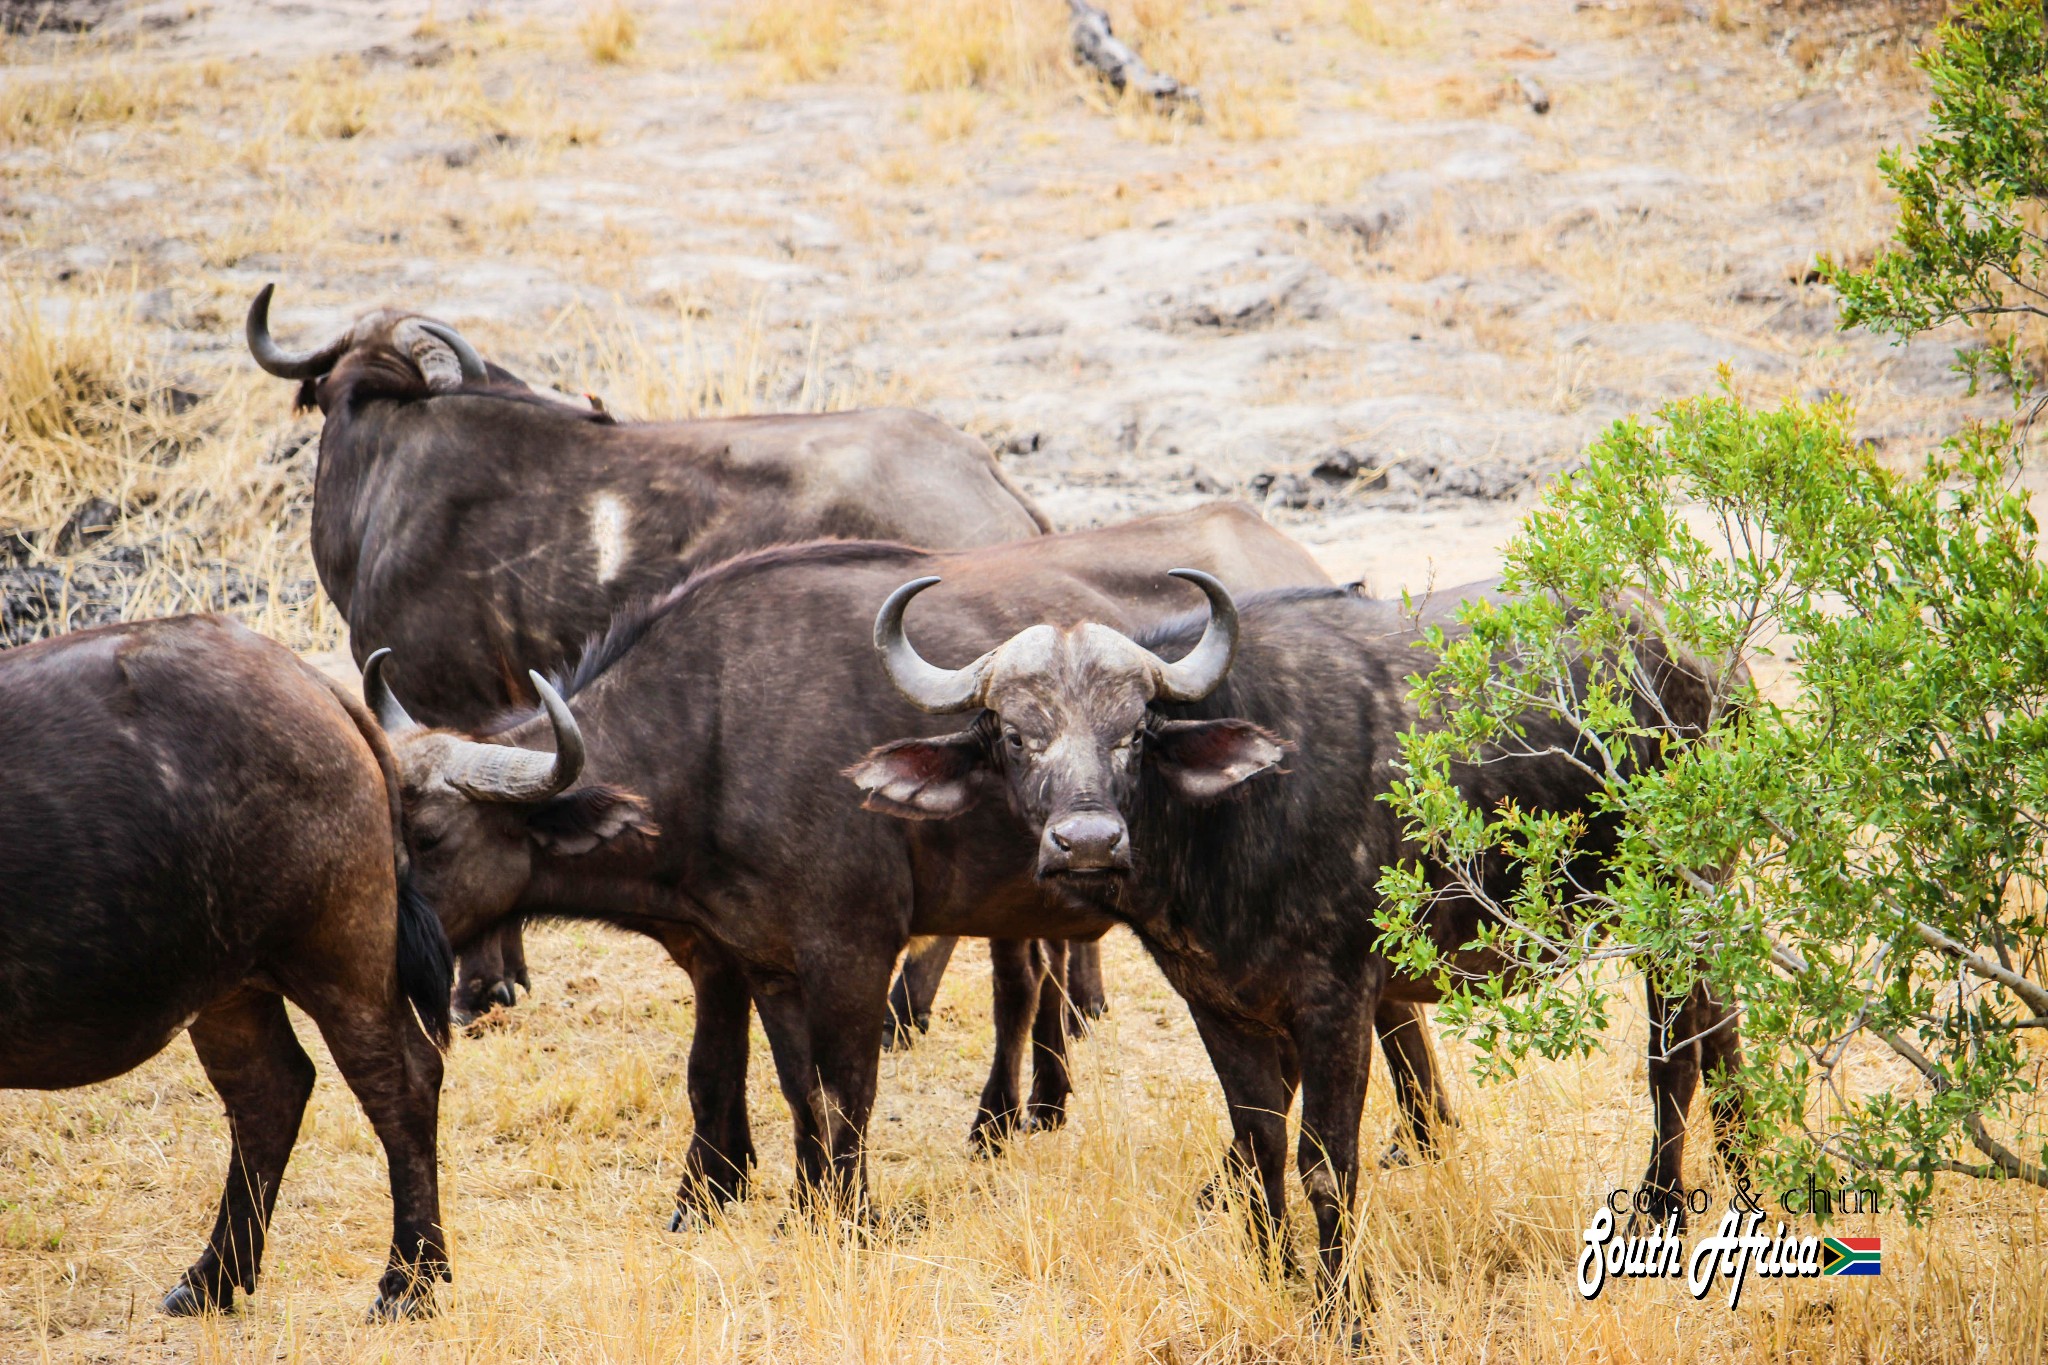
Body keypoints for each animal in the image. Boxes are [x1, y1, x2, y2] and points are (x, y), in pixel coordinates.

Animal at [1, 618, 456, 1326]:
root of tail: (305, 677)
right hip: (228, 989)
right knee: (270, 1090)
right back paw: (212, 1277)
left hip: (341, 955)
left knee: (402, 1082)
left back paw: (408, 1281)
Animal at [372, 505, 1458, 1219]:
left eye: (431, 836)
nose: (384, 955)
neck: (714, 727)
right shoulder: (759, 958)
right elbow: (780, 1082)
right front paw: (790, 1201)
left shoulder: (848, 949)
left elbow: (842, 1087)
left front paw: (836, 1213)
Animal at [847, 573, 1744, 1309]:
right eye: (1012, 734)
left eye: (1134, 731)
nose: (1089, 842)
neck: (1233, 822)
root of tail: (1695, 655)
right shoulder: (1218, 1004)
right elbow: (1260, 1148)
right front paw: (1279, 1274)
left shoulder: (1338, 1001)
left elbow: (1327, 1164)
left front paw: (1342, 1309)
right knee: (1724, 1024)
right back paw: (1743, 1164)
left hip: (1673, 898)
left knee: (1674, 1050)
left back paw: (1662, 1201)